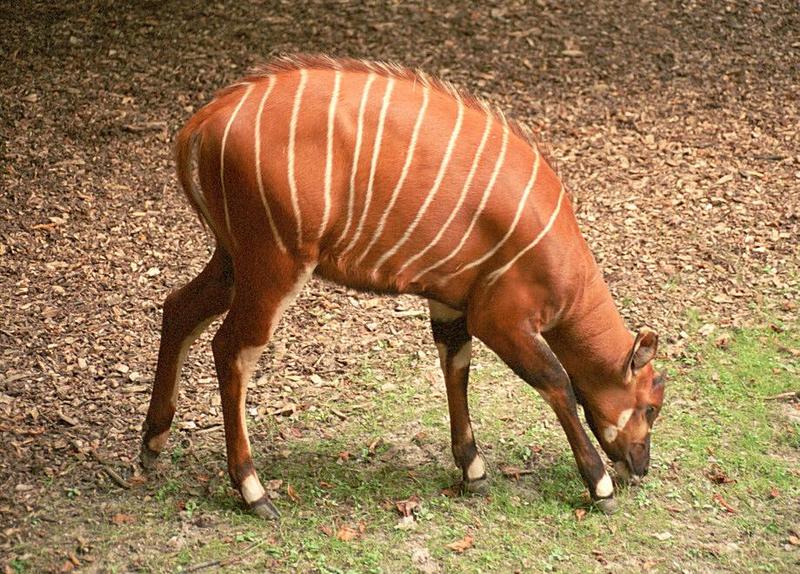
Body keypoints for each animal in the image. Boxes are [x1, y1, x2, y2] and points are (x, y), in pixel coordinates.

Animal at [141, 55, 664, 520]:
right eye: (652, 406)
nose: (640, 466)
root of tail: (206, 121)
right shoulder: (502, 318)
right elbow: (557, 382)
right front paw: (599, 486)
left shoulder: (451, 303)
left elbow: (455, 366)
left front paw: (473, 471)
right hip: (275, 262)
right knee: (232, 348)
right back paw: (254, 492)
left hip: (235, 260)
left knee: (178, 307)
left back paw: (152, 442)